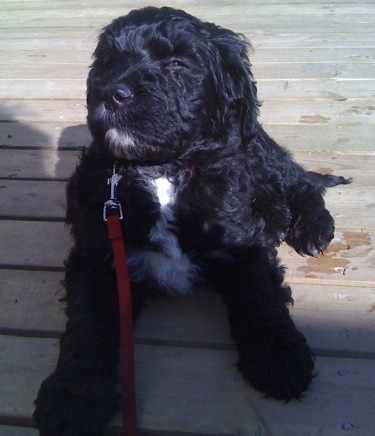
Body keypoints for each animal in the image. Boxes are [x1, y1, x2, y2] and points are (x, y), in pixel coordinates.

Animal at [33, 7, 352, 436]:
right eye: (107, 62)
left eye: (176, 64)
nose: (111, 94)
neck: (162, 171)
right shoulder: (98, 256)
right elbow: (89, 325)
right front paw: (73, 398)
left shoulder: (241, 243)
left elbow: (261, 295)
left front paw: (279, 358)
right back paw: (274, 216)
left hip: (252, 144)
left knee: (297, 179)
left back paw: (311, 225)